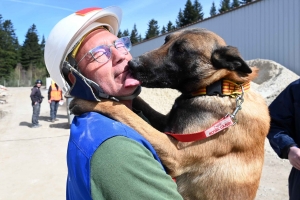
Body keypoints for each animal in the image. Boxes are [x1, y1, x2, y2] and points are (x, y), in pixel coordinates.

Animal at [70, 28, 270, 200]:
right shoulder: (166, 123)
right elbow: (139, 105)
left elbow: (123, 110)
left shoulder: (176, 153)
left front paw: (91, 101)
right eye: (166, 41)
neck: (218, 88)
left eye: (181, 50)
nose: (131, 64)